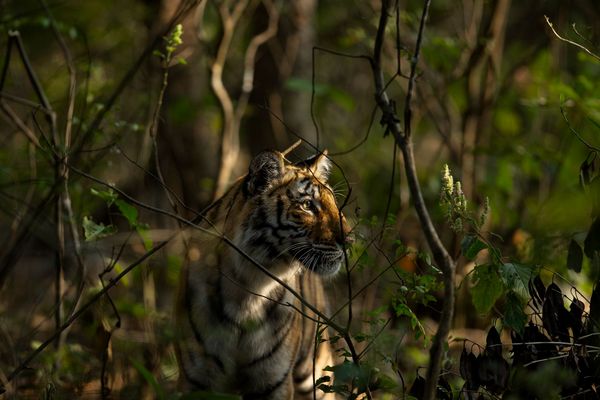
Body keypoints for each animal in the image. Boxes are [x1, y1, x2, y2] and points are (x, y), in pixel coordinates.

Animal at [175, 148, 352, 398]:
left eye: (335, 203)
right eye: (307, 205)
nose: (349, 240)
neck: (248, 289)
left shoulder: (274, 381)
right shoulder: (195, 380)